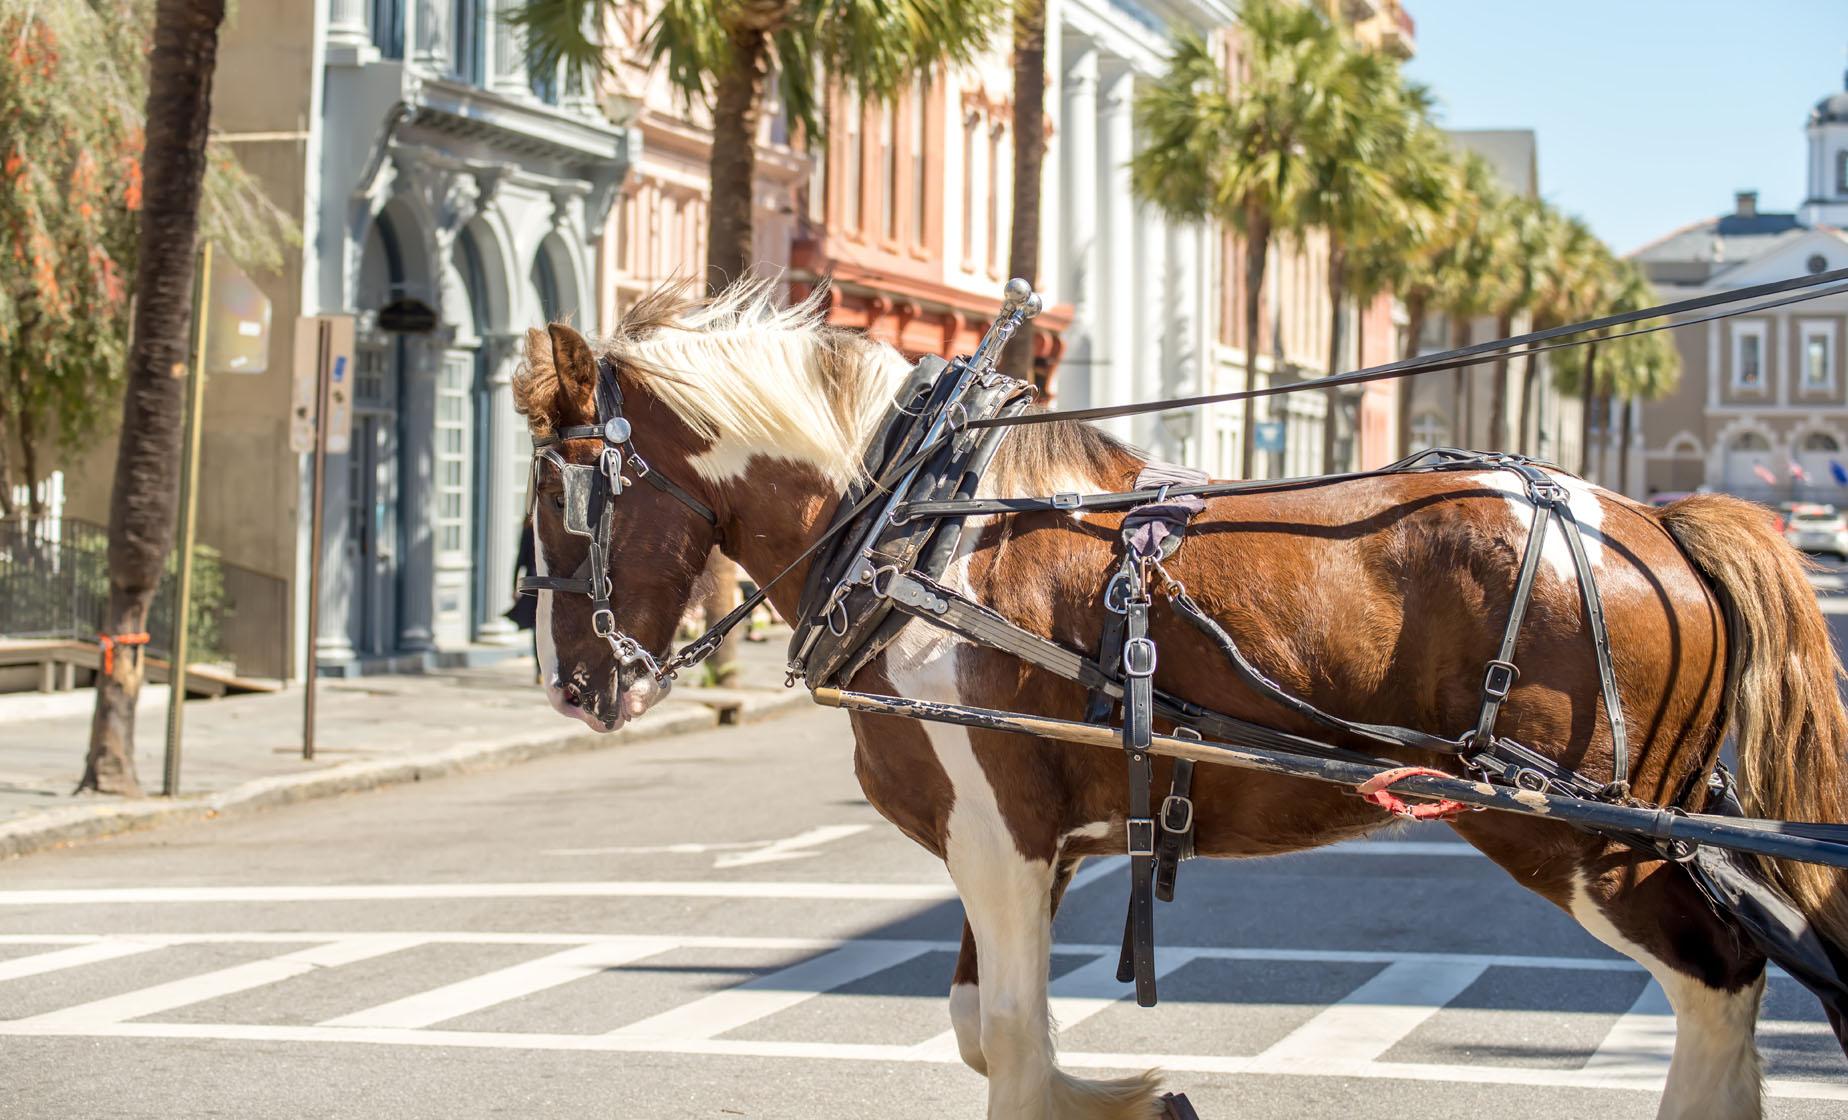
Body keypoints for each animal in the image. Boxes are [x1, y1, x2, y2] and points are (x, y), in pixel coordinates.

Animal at [513, 284, 1848, 1120]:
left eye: (562, 490)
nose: (573, 686)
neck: (914, 533)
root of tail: (1658, 524)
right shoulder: (1026, 842)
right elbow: (984, 1027)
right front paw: (1139, 1099)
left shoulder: (997, 833)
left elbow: (1013, 1046)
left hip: (1581, 836)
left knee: (1721, 983)